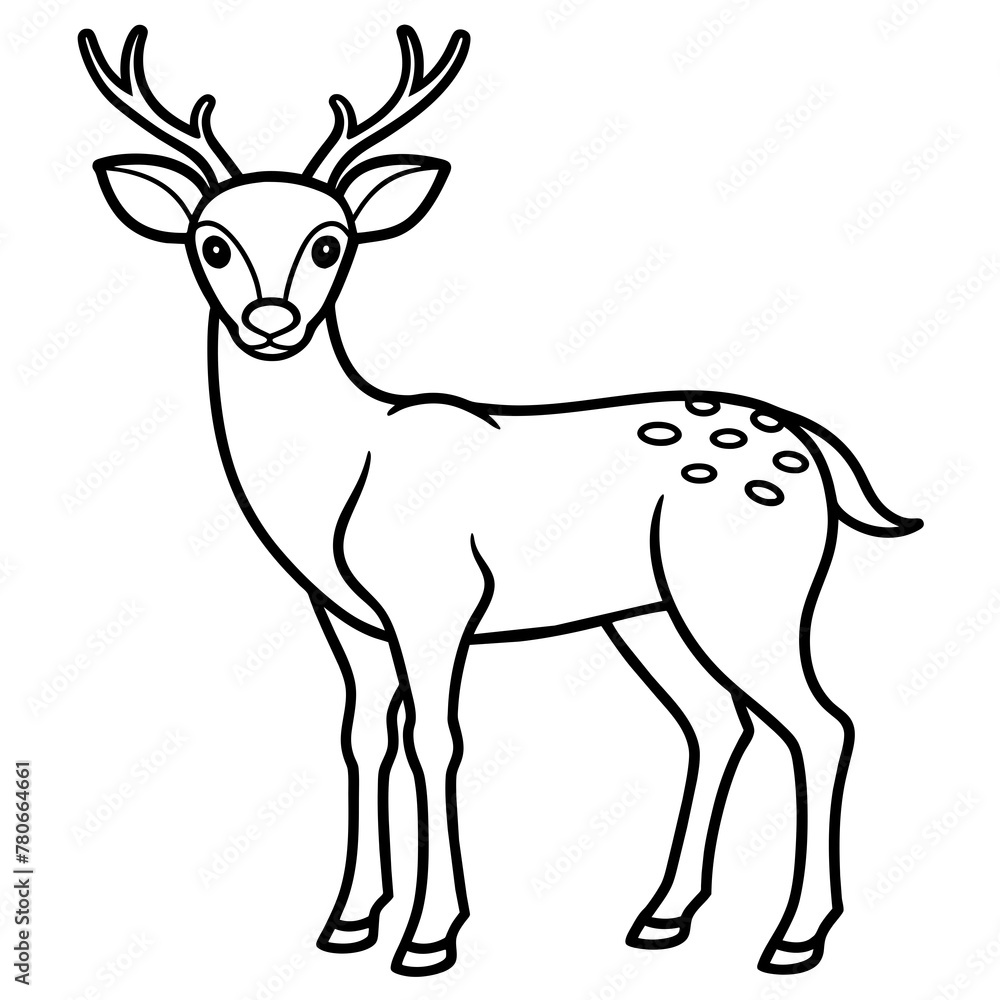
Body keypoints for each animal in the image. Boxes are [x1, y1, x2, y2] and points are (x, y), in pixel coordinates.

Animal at [79, 23, 923, 978]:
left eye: (332, 243)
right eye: (210, 243)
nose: (270, 319)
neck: (337, 480)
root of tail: (817, 451)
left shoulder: (437, 598)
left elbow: (435, 741)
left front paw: (429, 934)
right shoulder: (347, 617)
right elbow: (362, 738)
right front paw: (349, 920)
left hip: (749, 589)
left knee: (822, 724)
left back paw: (795, 936)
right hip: (647, 611)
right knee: (717, 724)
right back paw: (663, 916)